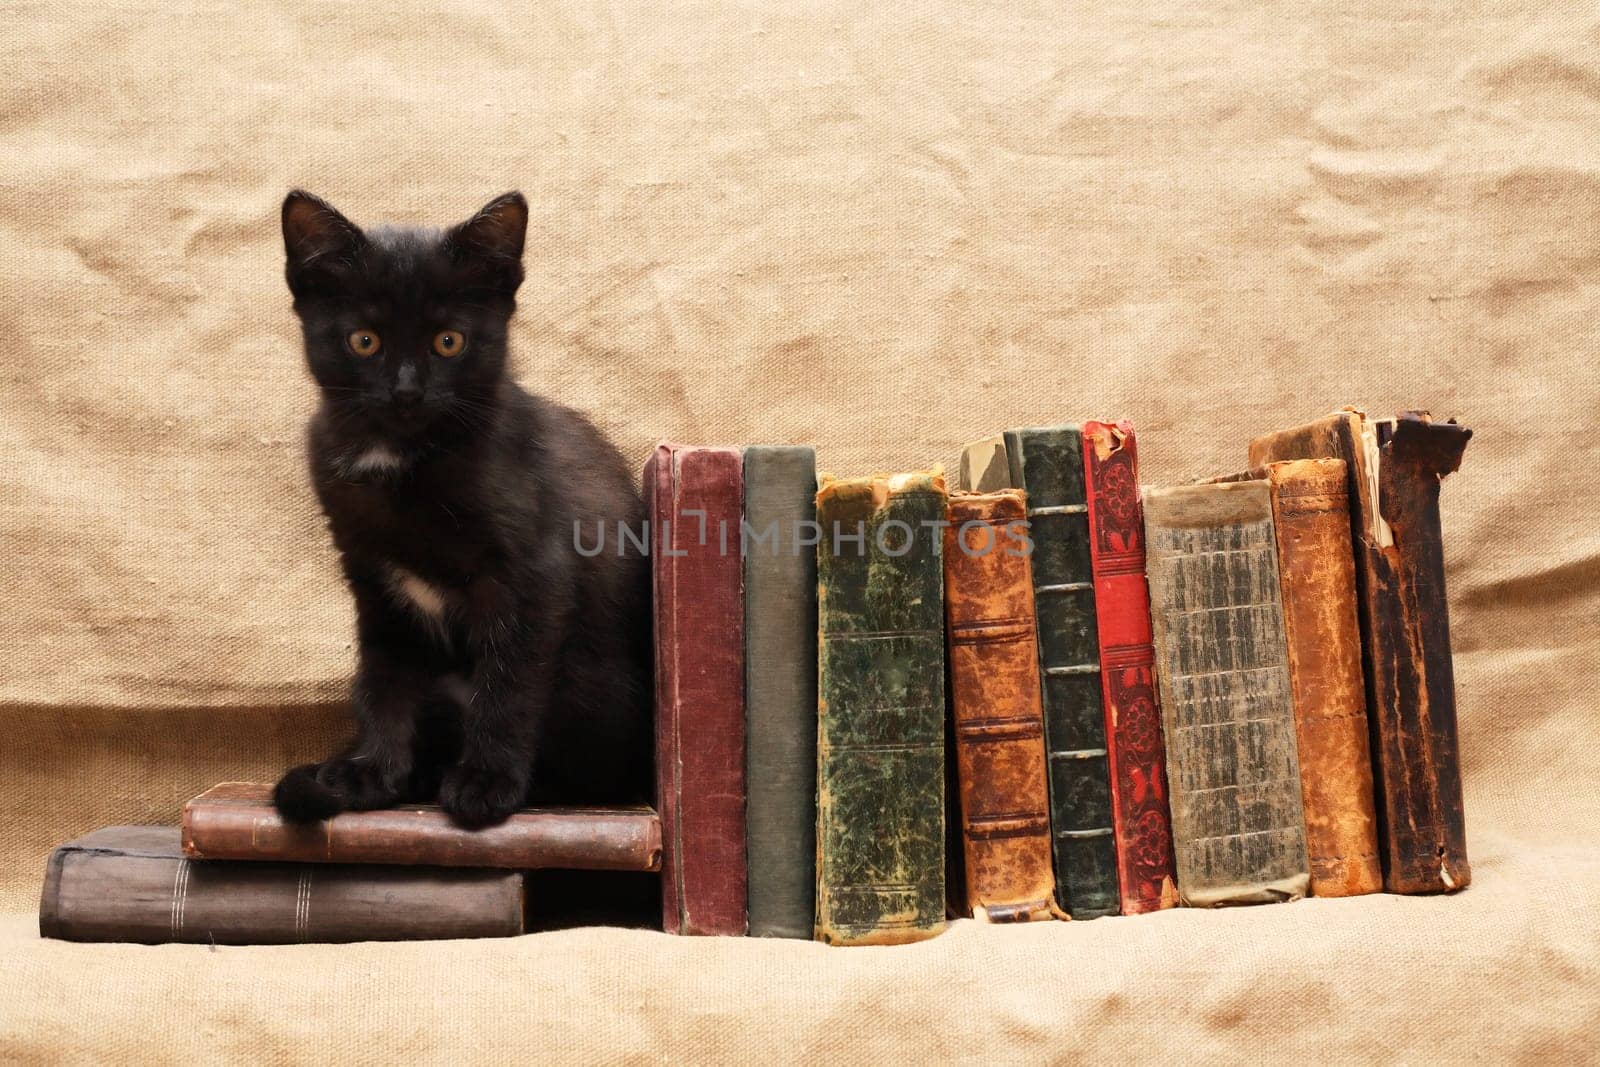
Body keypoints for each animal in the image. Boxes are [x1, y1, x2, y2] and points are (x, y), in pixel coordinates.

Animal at [272, 189, 652, 825]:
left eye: (448, 341)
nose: (406, 392)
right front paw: (372, 771)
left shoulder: (531, 576)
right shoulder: (374, 581)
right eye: (364, 340)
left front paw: (485, 781)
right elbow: (384, 678)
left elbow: (508, 683)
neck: (404, 459)